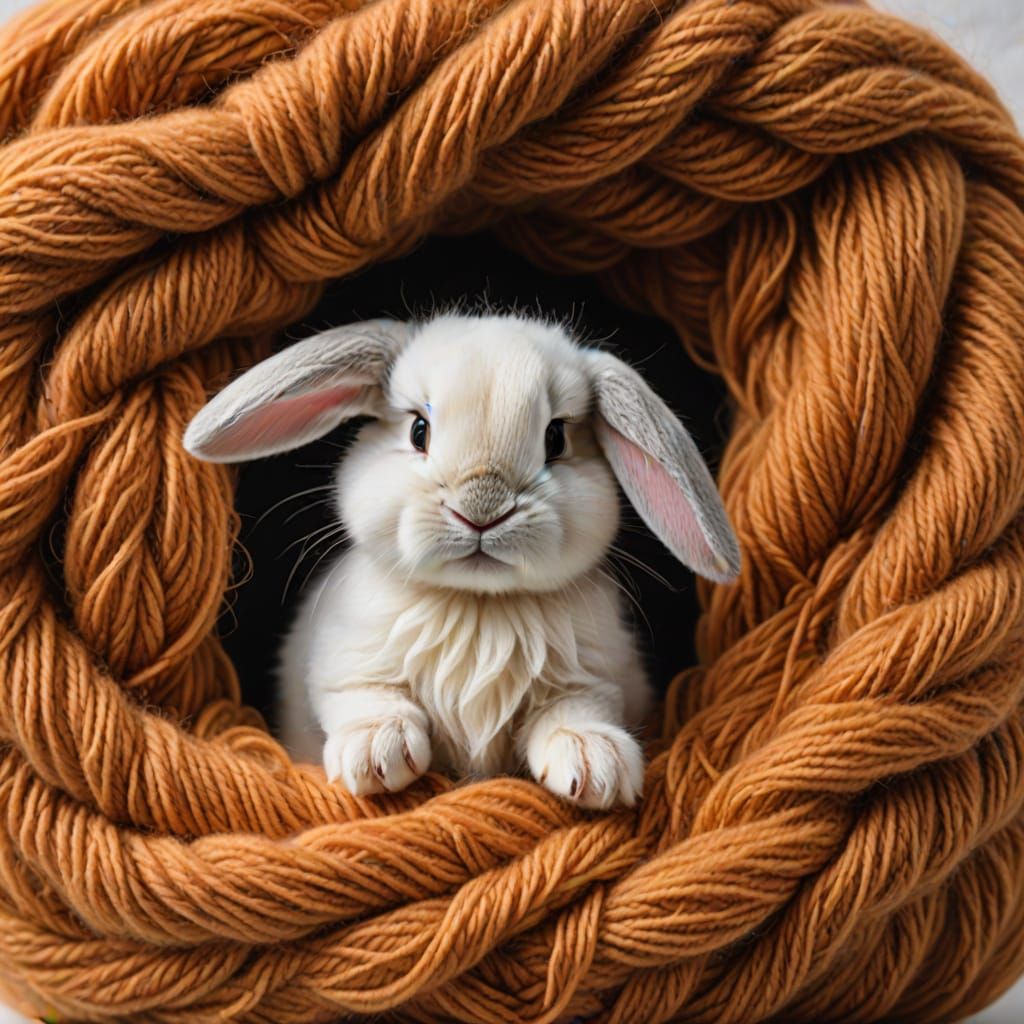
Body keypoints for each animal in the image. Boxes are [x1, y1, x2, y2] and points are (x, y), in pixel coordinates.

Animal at [183, 312, 740, 809]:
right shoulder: (344, 668)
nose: (481, 510)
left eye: (555, 437)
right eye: (419, 431)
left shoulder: (593, 681)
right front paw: (377, 755)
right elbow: (367, 697)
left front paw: (595, 765)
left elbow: (575, 712)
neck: (477, 604)